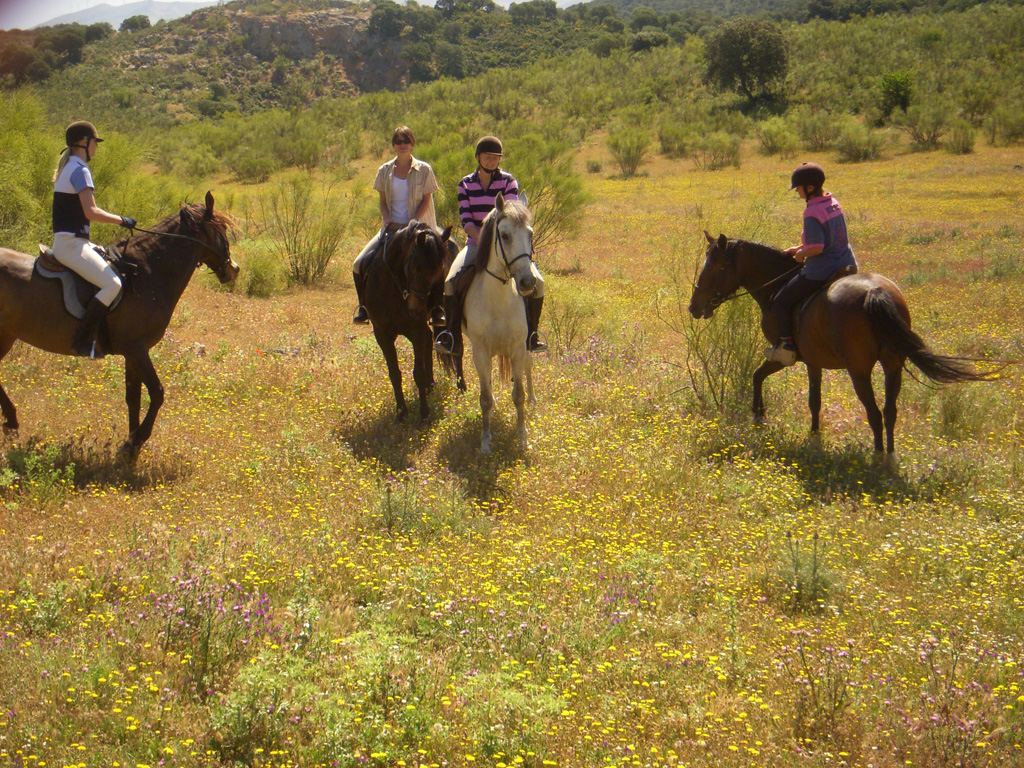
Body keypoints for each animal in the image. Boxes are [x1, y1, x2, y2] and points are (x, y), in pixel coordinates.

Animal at [0, 192, 239, 456]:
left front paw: (130, 445)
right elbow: (157, 393)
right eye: (221, 230)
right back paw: (11, 421)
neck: (145, 273)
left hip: (6, 335)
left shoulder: (132, 353)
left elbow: (133, 397)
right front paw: (137, 439)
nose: (234, 269)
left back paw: (11, 421)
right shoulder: (136, 348)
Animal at [361, 219, 453, 422]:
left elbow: (418, 372)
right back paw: (428, 387)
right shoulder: (382, 334)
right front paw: (401, 412)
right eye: (416, 267)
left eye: (438, 272)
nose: (416, 310)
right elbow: (394, 373)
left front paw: (424, 413)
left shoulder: (416, 329)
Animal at [460, 194, 537, 454]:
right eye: (504, 235)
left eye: (530, 234)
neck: (498, 299)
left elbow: (518, 395)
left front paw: (523, 438)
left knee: (529, 368)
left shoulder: (519, 347)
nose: (527, 282)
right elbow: (485, 398)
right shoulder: (480, 351)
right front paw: (485, 441)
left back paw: (533, 399)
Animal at [689, 231, 991, 455]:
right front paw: (813, 435)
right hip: (893, 364)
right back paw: (890, 455)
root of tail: (875, 292)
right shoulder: (813, 361)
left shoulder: (786, 356)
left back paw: (878, 457)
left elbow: (758, 376)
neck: (778, 285)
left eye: (714, 267)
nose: (694, 307)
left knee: (874, 413)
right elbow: (813, 400)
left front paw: (758, 416)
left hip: (859, 370)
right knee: (889, 411)